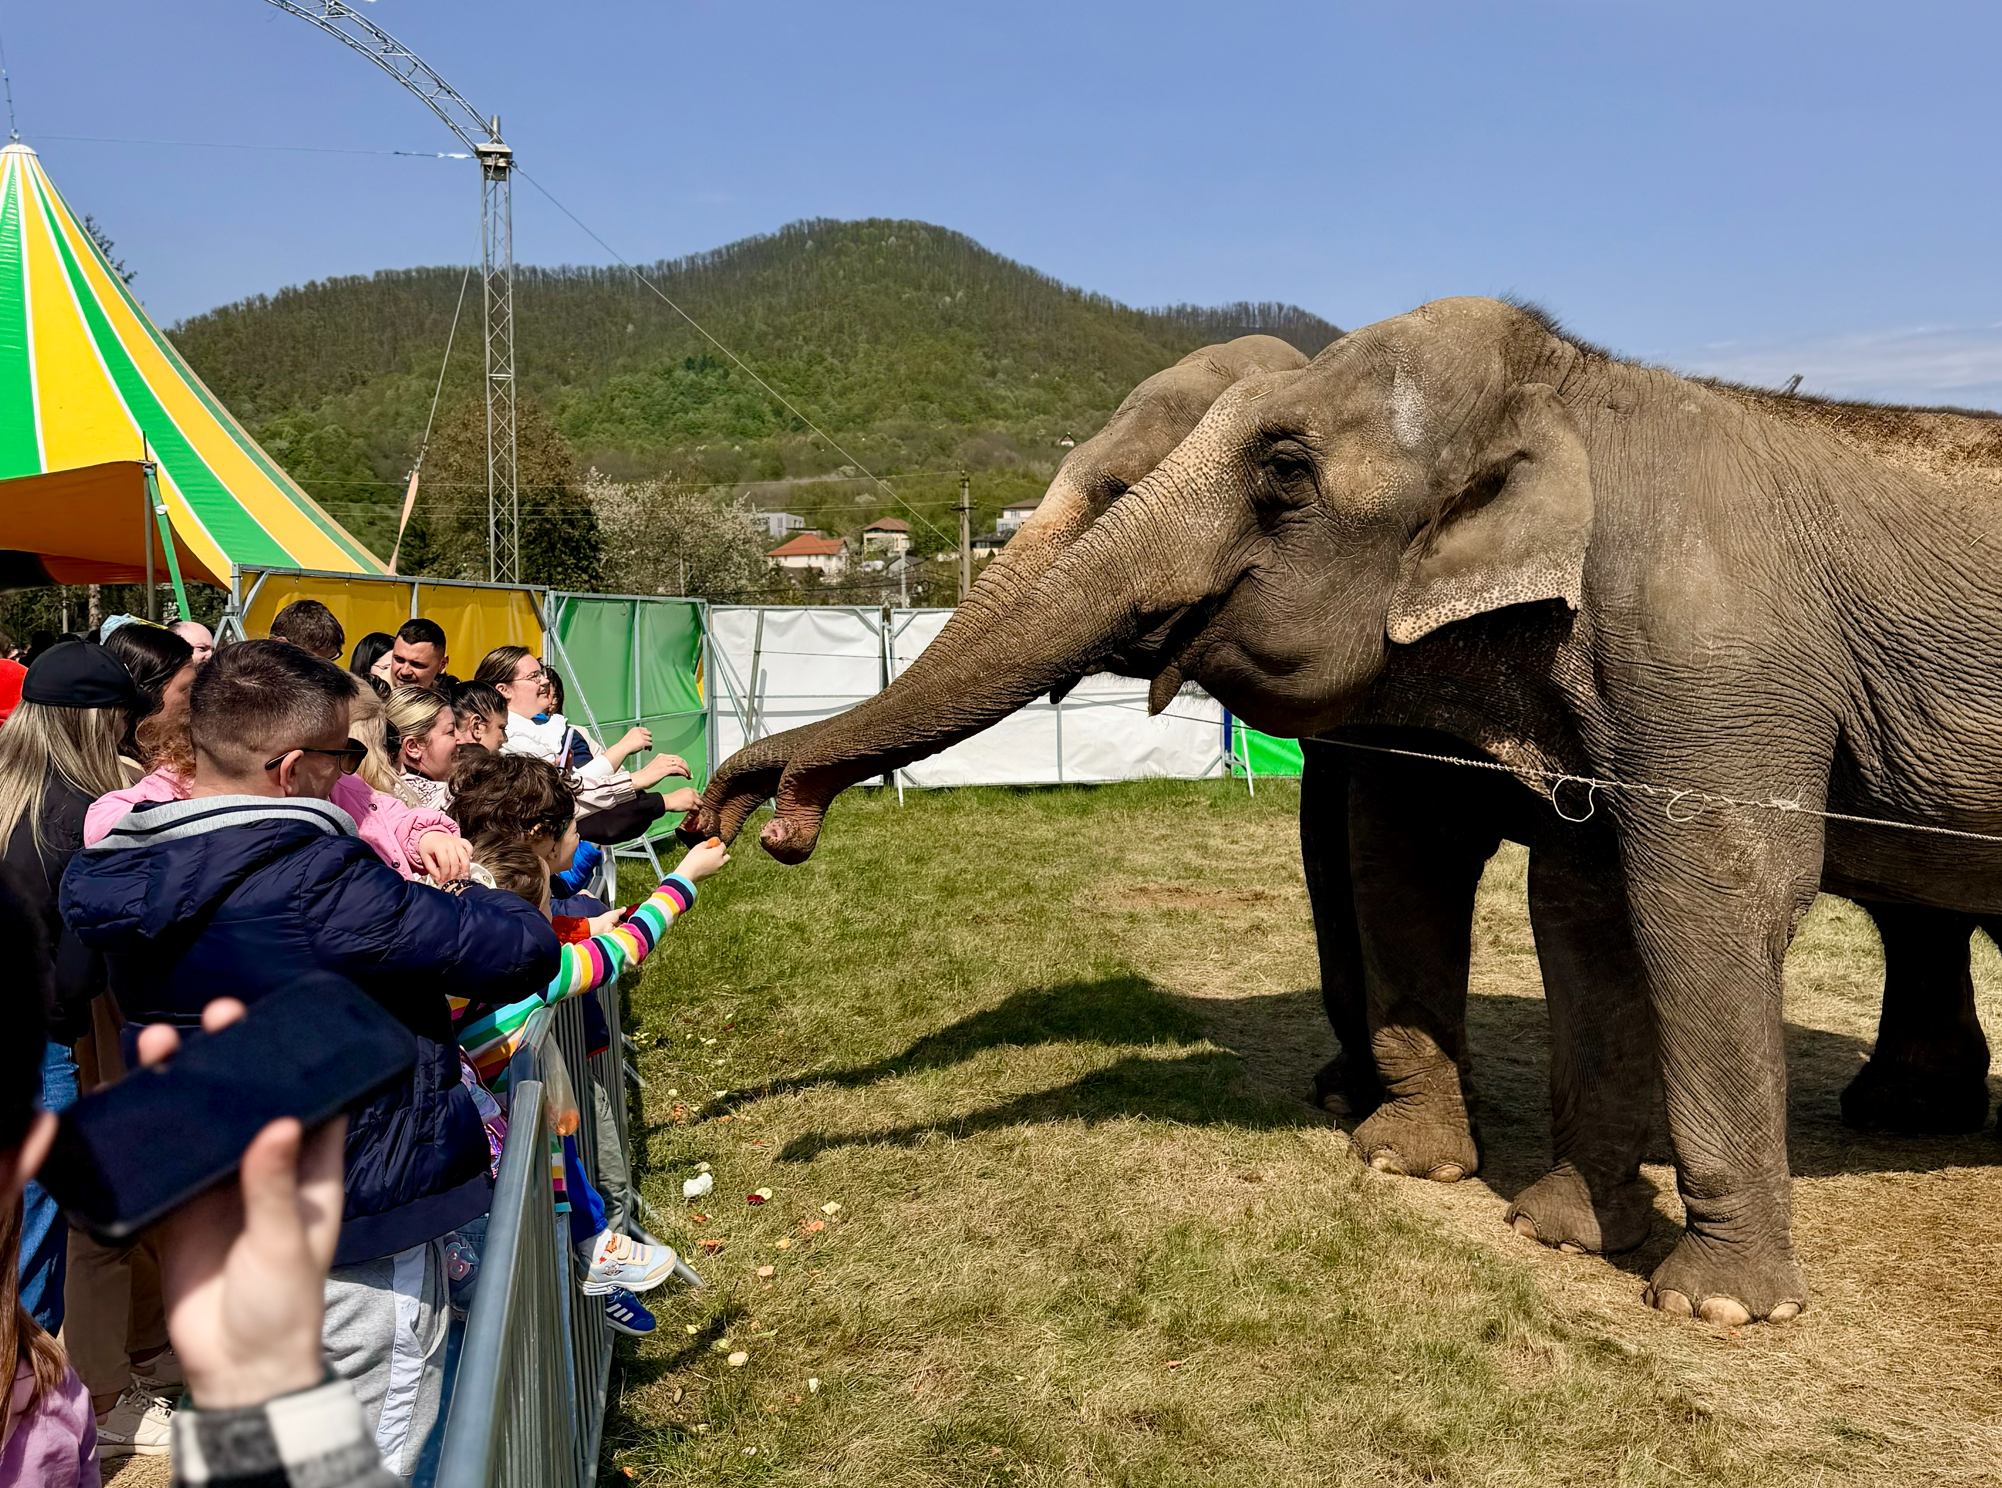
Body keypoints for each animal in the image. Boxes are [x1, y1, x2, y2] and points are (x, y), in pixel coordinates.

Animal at [693, 298, 2002, 1324]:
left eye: (1281, 475)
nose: (754, 815)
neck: (1577, 388)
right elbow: (1527, 886)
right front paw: (1501, 1203)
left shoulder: (1710, 657)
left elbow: (1700, 892)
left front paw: (1708, 1304)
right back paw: (1908, 1117)